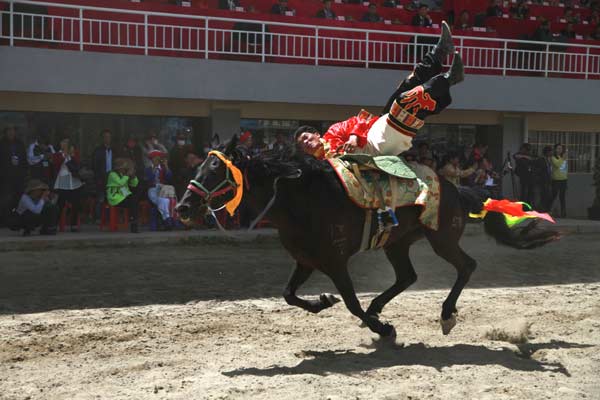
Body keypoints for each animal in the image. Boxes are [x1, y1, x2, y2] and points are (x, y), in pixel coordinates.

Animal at [175, 138, 556, 338]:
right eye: (199, 167)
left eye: (214, 170)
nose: (182, 206)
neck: (300, 197)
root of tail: (454, 188)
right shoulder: (305, 259)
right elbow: (289, 295)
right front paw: (323, 302)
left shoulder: (334, 261)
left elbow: (350, 301)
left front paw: (382, 328)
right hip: (398, 243)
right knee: (407, 276)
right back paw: (381, 306)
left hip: (442, 238)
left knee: (466, 266)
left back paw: (446, 313)